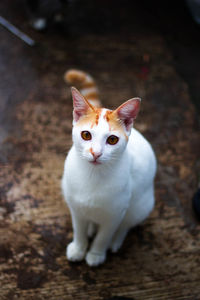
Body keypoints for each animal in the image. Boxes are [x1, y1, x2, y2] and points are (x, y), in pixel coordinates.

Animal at [61, 70, 157, 268]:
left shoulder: (115, 214)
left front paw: (96, 254)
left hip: (141, 206)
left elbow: (103, 236)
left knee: (126, 224)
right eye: (86, 135)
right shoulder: (75, 207)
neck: (93, 175)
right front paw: (79, 248)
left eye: (112, 140)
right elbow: (78, 229)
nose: (96, 153)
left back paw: (115, 241)